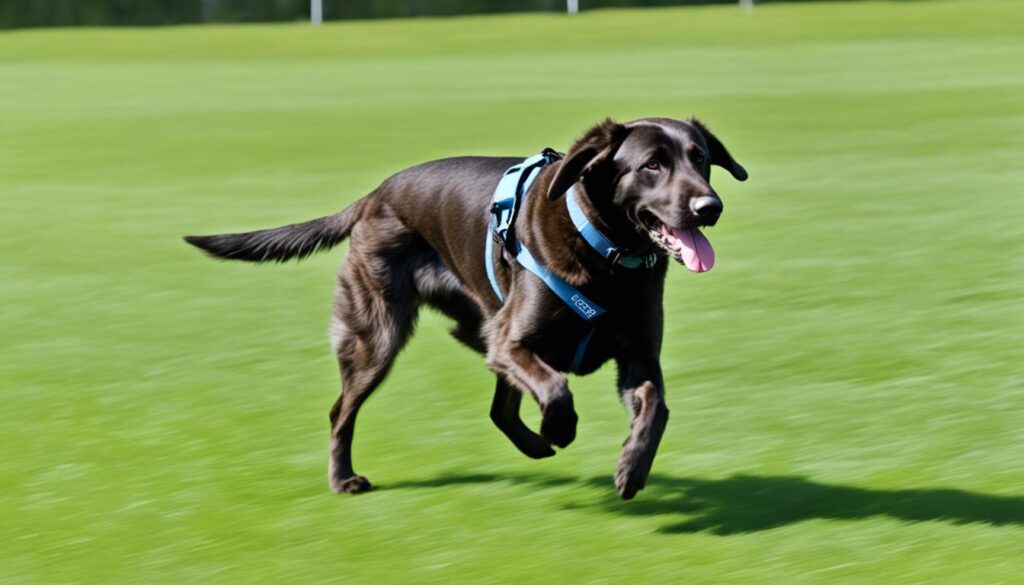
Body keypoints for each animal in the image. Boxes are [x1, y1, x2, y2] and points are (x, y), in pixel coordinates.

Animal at [184, 117, 745, 499]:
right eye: (652, 165)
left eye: (700, 159)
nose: (710, 207)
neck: (607, 257)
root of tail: (372, 196)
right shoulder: (512, 342)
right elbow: (557, 391)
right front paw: (559, 430)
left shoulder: (637, 358)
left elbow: (655, 409)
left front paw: (631, 468)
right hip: (377, 337)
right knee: (341, 411)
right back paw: (344, 478)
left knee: (500, 409)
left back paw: (535, 447)